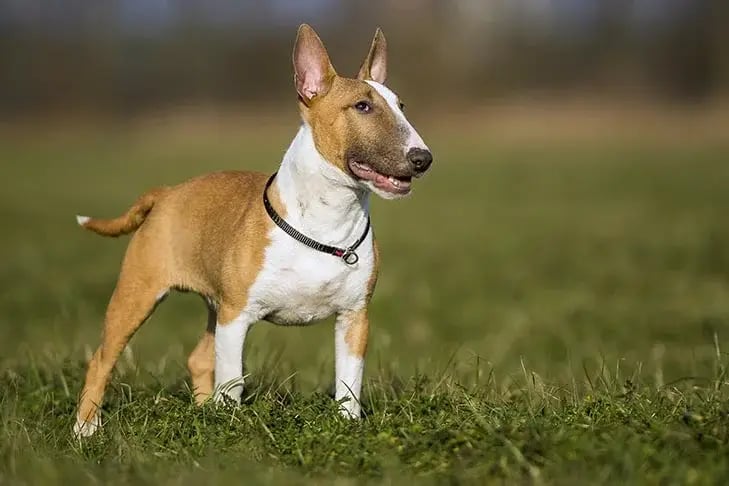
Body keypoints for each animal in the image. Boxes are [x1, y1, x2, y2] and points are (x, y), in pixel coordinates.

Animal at [72, 24, 432, 438]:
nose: (423, 159)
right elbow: (232, 380)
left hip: (213, 306)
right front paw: (230, 428)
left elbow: (349, 381)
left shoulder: (354, 318)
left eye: (401, 106)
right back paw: (85, 429)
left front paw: (346, 425)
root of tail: (167, 193)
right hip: (140, 292)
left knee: (198, 359)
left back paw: (201, 412)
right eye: (362, 107)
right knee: (102, 358)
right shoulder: (237, 317)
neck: (326, 221)